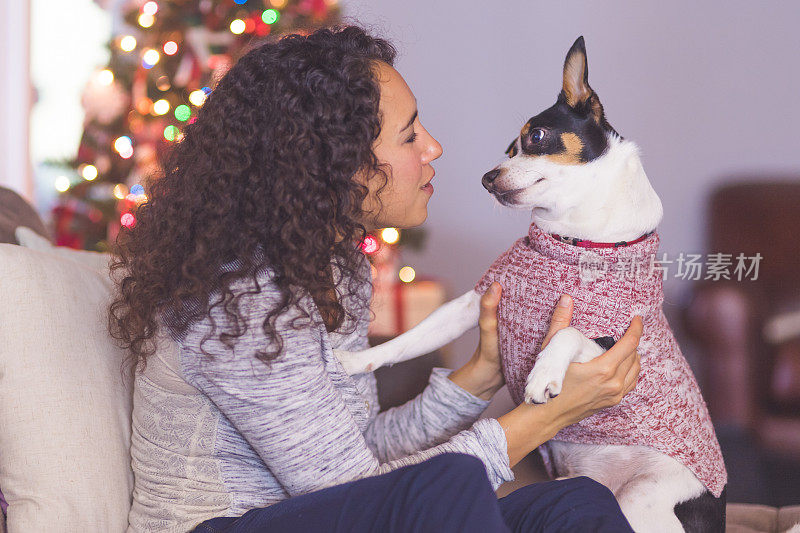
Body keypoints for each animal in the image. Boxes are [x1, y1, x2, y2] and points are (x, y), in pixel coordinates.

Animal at [334, 35, 728, 528]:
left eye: (535, 137)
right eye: (508, 150)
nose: (486, 178)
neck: (573, 240)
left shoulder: (616, 344)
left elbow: (566, 334)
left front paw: (542, 376)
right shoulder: (475, 301)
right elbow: (408, 341)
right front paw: (354, 360)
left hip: (641, 499)